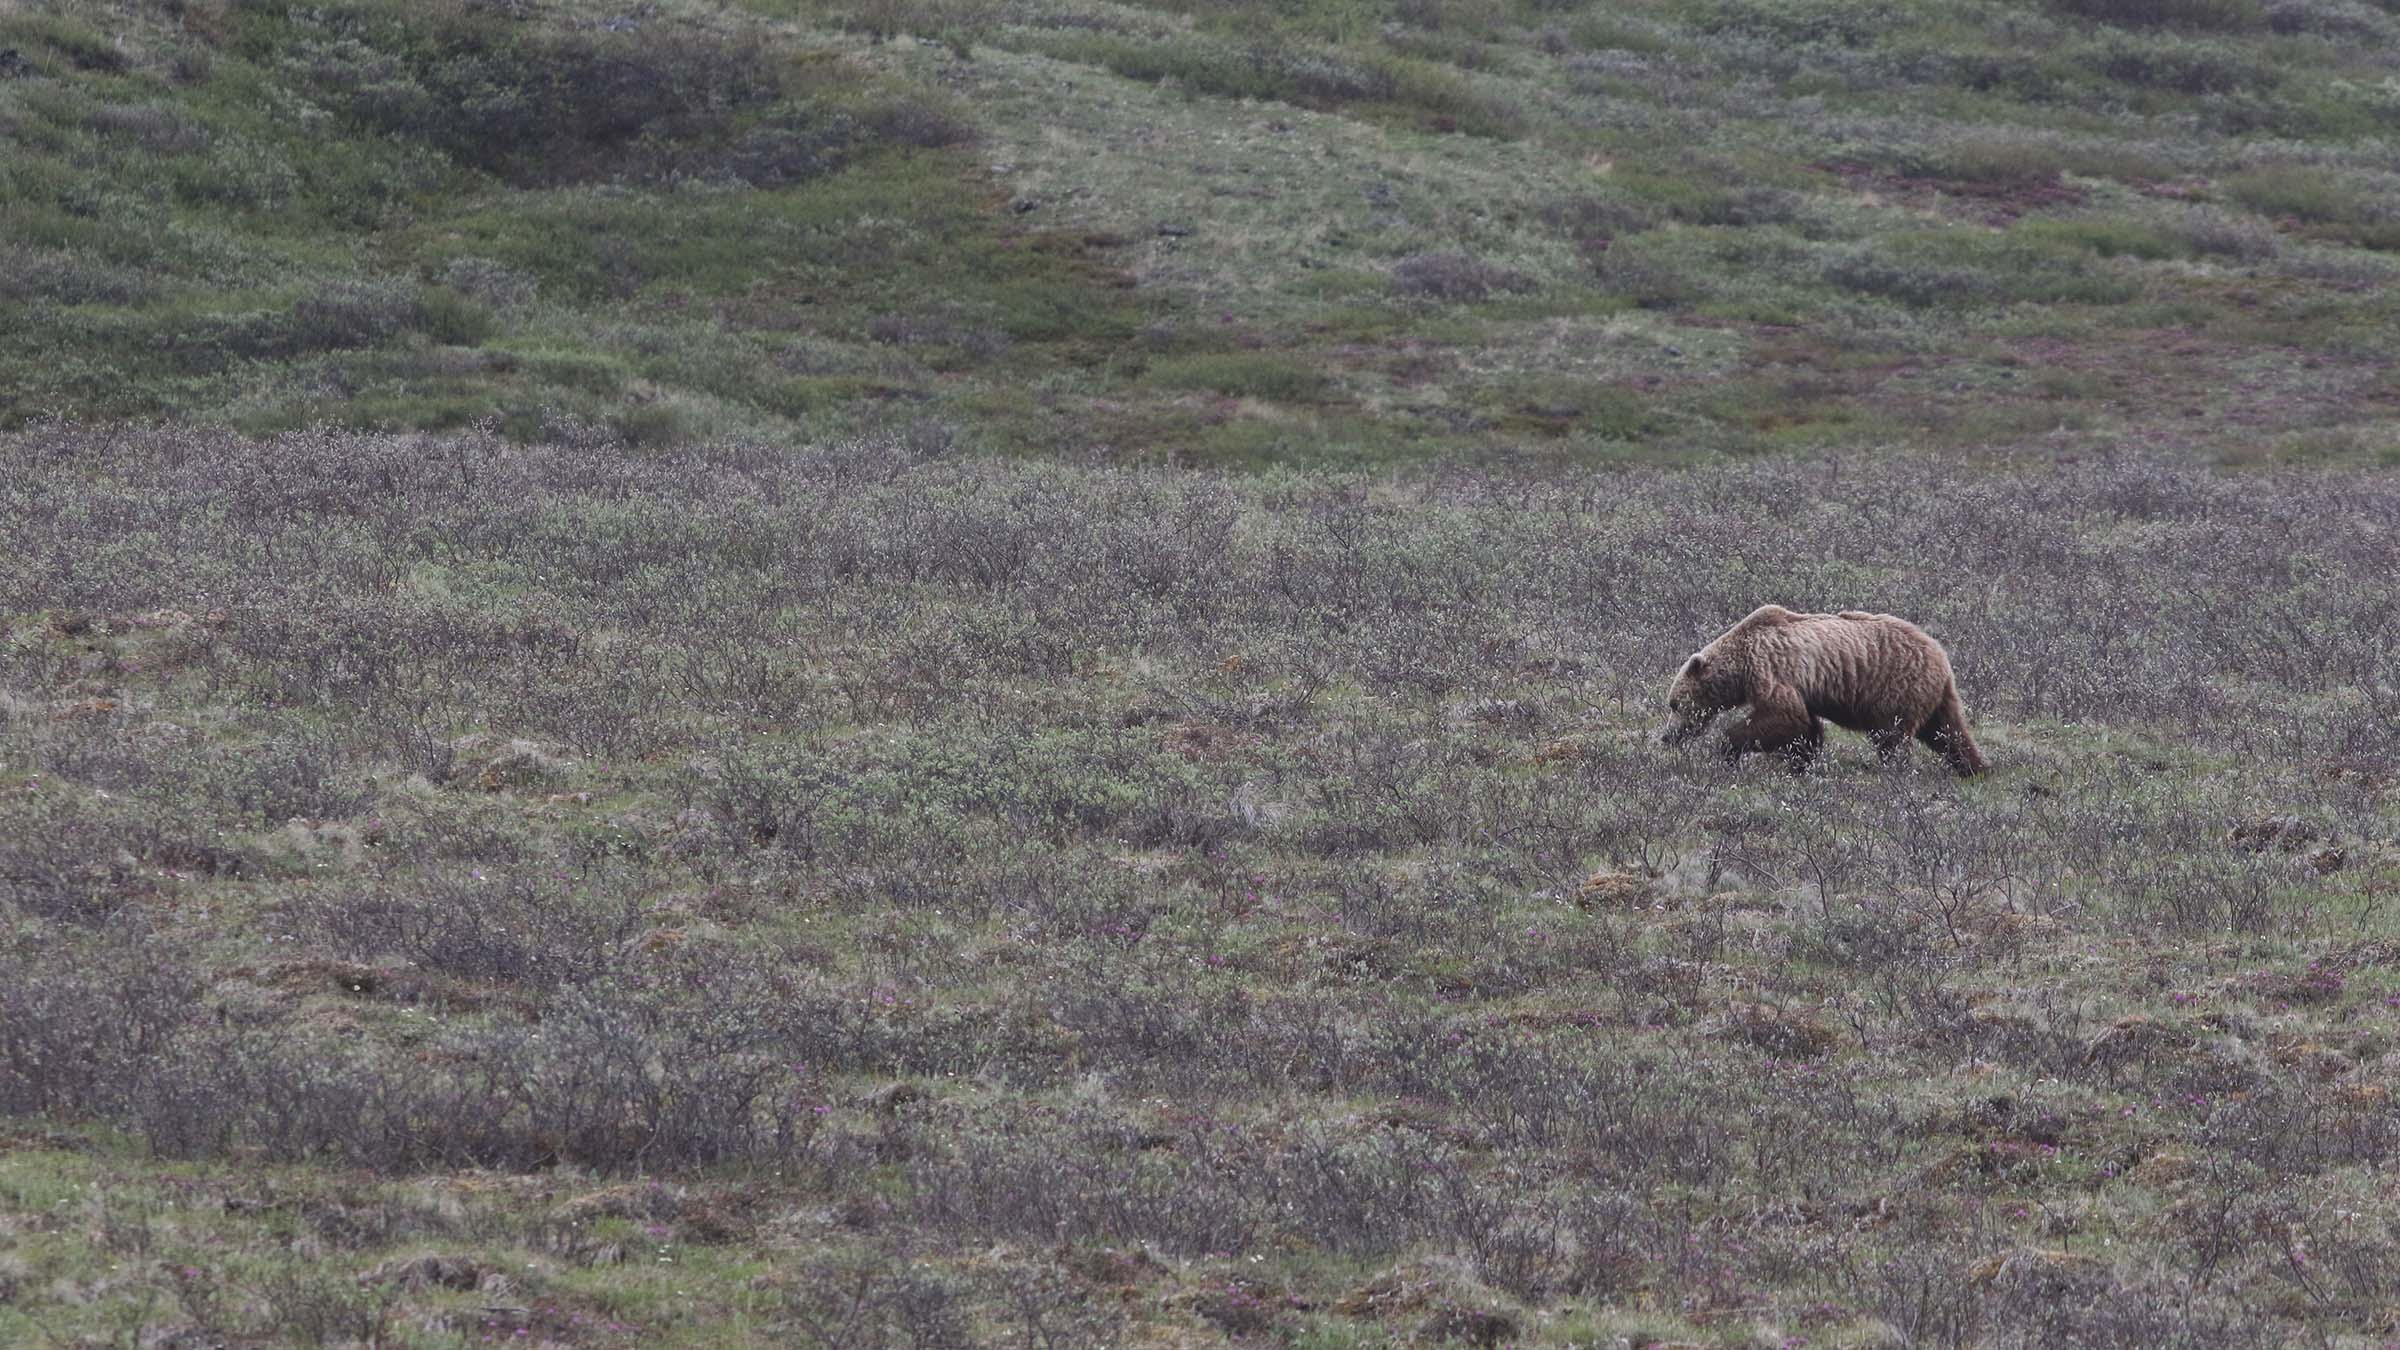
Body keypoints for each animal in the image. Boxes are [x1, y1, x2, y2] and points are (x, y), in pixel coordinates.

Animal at [1662, 604, 1987, 776]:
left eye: (1674, 704)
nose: (1667, 736)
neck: (1741, 666)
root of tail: (1940, 656)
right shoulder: (1800, 687)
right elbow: (1804, 726)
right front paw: (1799, 761)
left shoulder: (1771, 669)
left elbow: (1782, 716)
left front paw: (1728, 747)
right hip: (1933, 697)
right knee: (1948, 732)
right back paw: (1974, 767)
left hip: (1897, 688)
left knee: (1891, 736)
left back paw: (1892, 771)